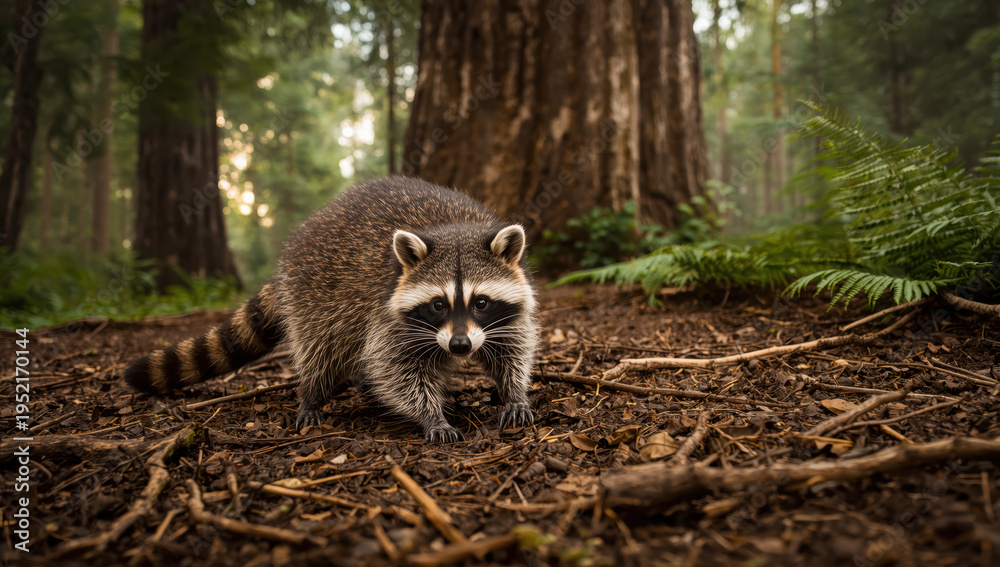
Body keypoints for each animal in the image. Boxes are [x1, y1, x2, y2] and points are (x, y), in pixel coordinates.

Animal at [124, 176, 539, 442]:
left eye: (481, 302)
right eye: (438, 304)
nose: (459, 346)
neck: (453, 229)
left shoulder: (502, 316)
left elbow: (512, 348)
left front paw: (514, 390)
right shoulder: (386, 313)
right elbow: (395, 369)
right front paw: (430, 414)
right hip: (315, 295)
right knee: (321, 347)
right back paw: (313, 393)